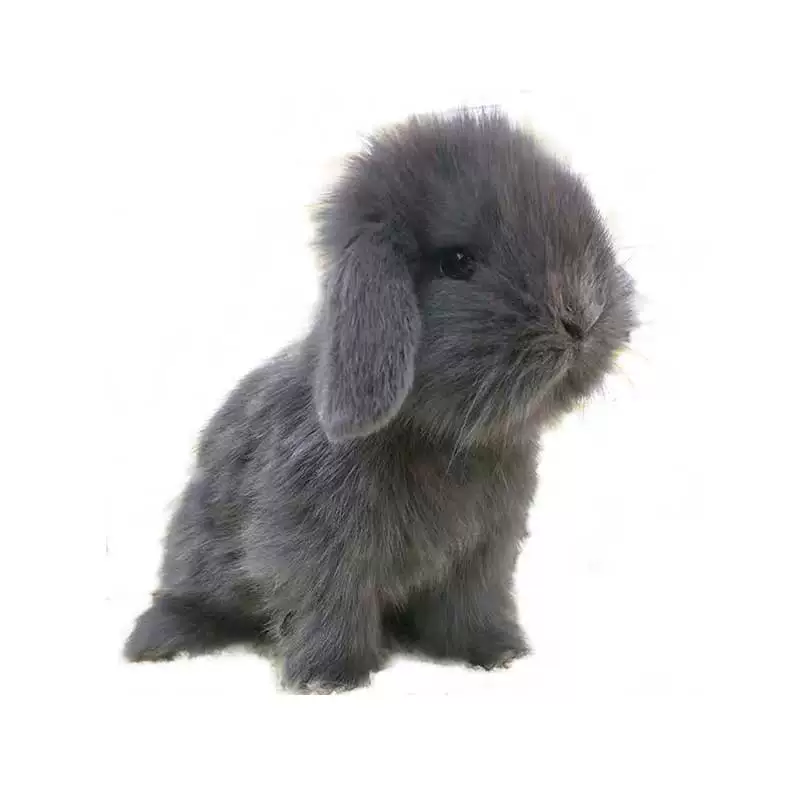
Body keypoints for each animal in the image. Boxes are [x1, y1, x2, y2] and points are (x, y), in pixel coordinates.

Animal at [124, 109, 638, 692]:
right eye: (458, 262)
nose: (583, 316)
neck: (442, 441)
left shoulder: (484, 553)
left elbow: (472, 605)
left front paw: (496, 652)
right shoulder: (316, 545)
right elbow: (331, 604)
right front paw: (332, 678)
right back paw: (160, 639)